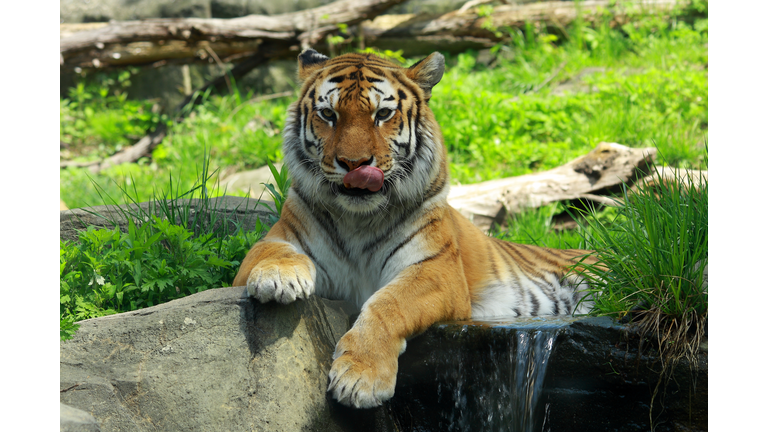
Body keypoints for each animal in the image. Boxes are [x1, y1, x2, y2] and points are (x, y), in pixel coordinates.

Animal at [231, 49, 596, 408]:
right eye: (328, 114)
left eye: (382, 113)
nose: (354, 164)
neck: (358, 219)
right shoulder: (277, 239)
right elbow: (269, 250)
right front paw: (278, 277)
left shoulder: (436, 270)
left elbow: (388, 303)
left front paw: (360, 377)